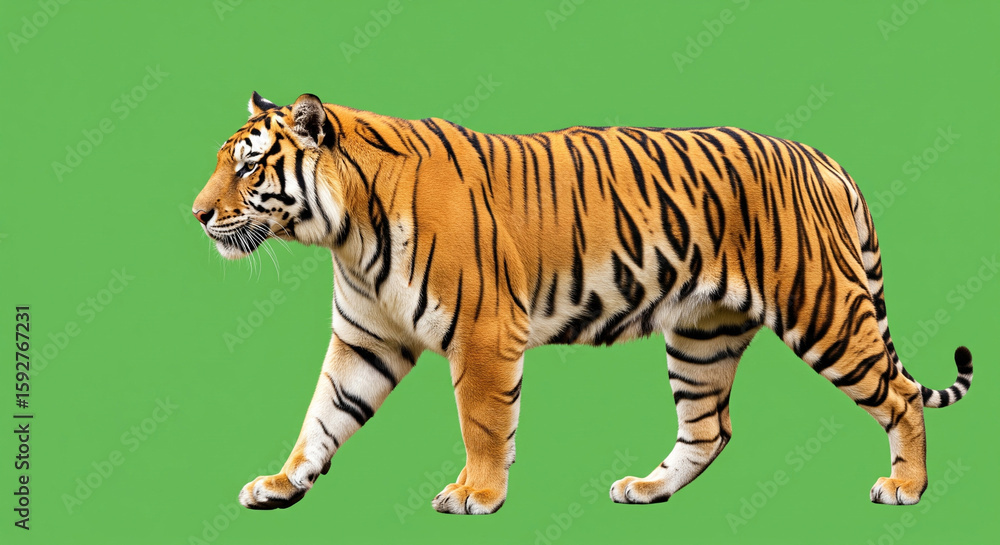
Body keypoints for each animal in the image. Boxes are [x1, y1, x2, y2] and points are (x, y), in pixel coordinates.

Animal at [192, 91, 973, 514]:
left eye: (250, 166)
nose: (196, 215)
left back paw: (906, 487)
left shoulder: (482, 333)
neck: (346, 232)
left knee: (901, 395)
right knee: (709, 430)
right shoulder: (366, 340)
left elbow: (482, 423)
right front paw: (281, 482)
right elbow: (322, 416)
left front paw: (476, 494)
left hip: (823, 309)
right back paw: (649, 489)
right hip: (702, 335)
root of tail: (824, 160)